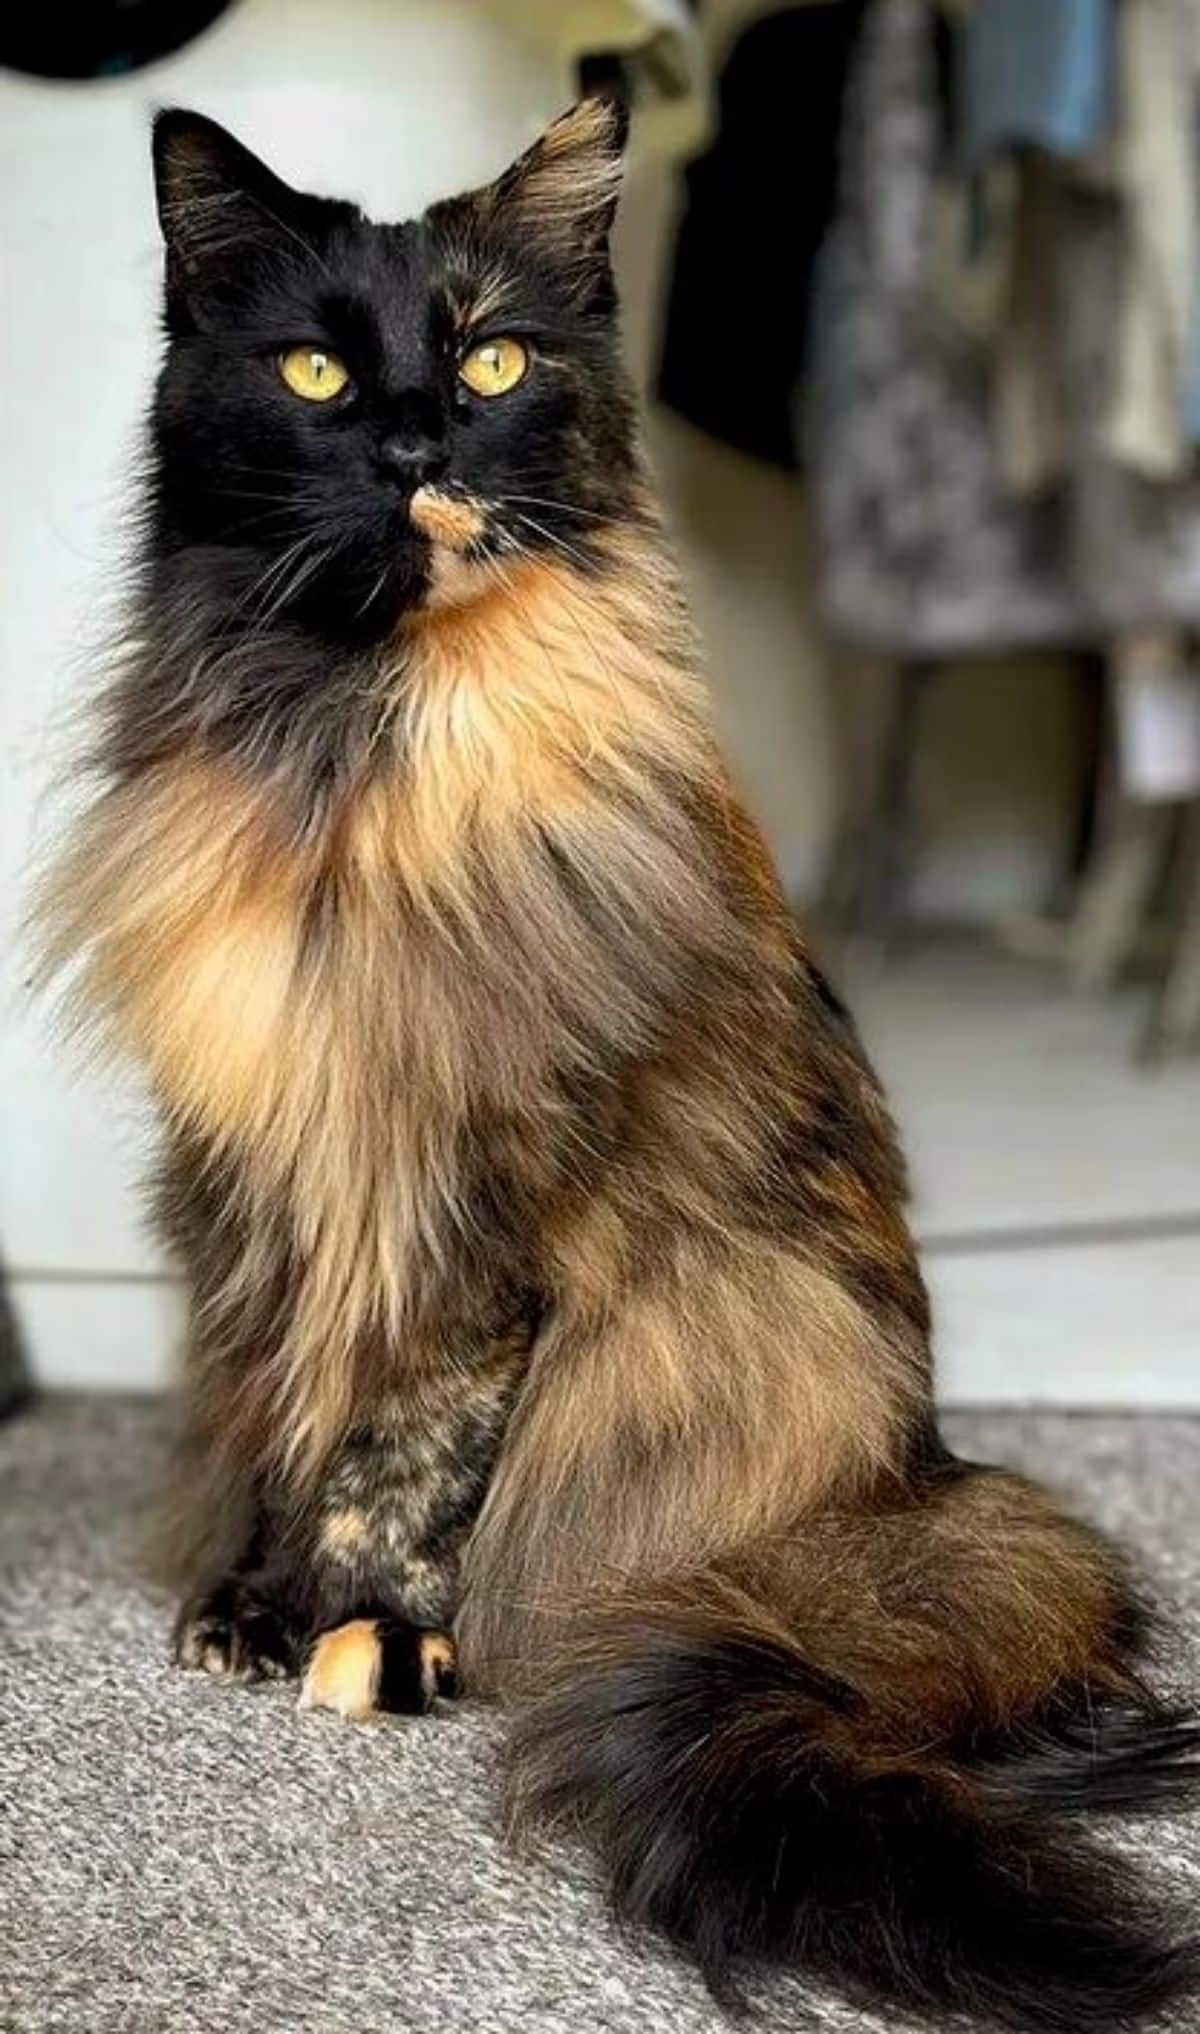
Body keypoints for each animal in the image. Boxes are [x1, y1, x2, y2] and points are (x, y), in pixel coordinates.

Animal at [37, 99, 1200, 2033]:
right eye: (315, 370)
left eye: (494, 358)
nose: (417, 441)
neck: (353, 767)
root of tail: (912, 1478)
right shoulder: (267, 1173)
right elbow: (285, 1404)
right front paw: (254, 1599)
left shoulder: (483, 1196)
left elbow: (410, 1452)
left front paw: (373, 1631)